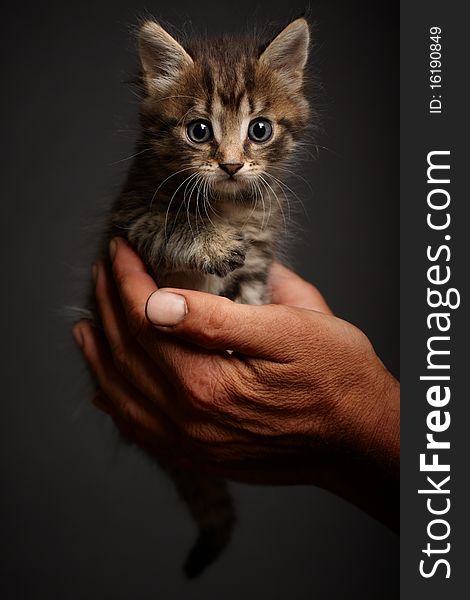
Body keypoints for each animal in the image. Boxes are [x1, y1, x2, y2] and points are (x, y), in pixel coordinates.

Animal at [95, 17, 310, 576]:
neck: (229, 204)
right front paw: (213, 244)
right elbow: (177, 228)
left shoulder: (259, 261)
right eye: (199, 131)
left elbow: (251, 300)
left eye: (260, 129)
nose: (232, 165)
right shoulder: (132, 219)